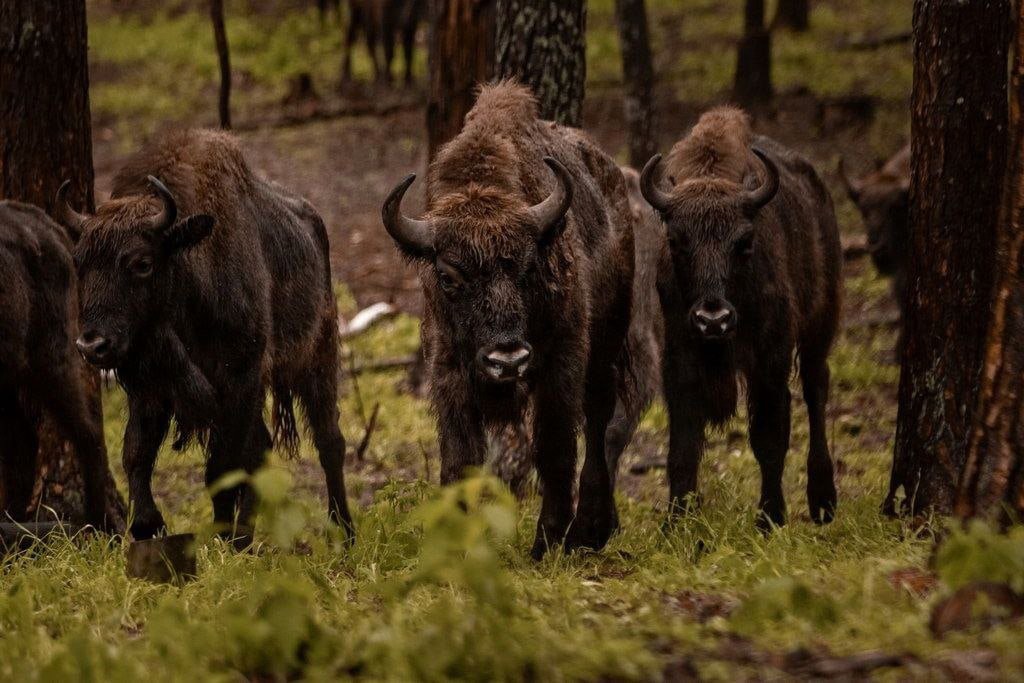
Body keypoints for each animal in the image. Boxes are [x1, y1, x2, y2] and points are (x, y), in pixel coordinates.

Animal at [60, 126, 356, 544]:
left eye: (142, 263)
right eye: (79, 262)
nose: (92, 344)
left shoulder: (240, 380)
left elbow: (222, 468)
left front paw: (226, 536)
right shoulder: (149, 388)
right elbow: (136, 454)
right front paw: (149, 525)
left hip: (317, 357)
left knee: (329, 441)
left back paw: (344, 532)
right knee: (263, 447)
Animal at [380, 82, 634, 557]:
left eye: (529, 266)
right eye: (447, 276)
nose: (508, 359)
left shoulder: (561, 366)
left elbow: (554, 448)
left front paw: (546, 543)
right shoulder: (449, 373)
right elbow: (459, 461)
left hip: (607, 345)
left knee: (597, 424)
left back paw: (590, 530)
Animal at [638, 109, 839, 532]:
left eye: (745, 241)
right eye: (677, 241)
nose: (713, 319)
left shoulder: (769, 362)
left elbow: (768, 438)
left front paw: (770, 518)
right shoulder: (678, 363)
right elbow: (682, 446)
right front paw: (675, 522)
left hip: (820, 325)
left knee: (816, 390)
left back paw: (822, 501)